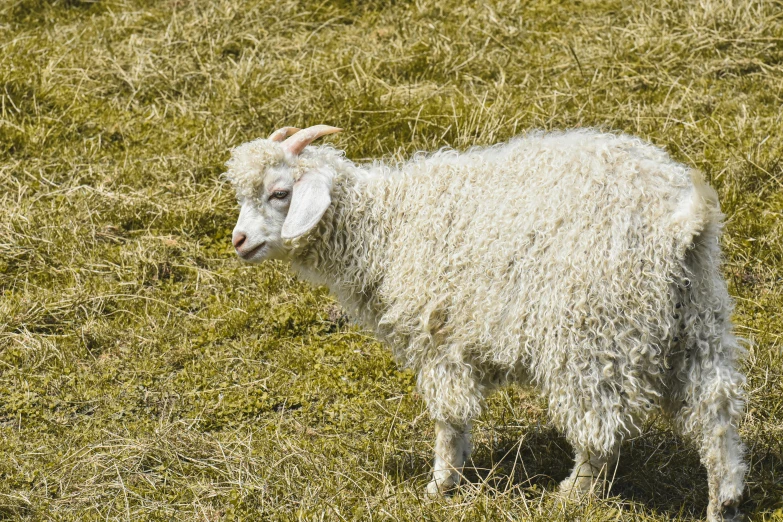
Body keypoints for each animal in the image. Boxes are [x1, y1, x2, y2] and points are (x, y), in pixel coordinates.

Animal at [225, 124, 748, 516]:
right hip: (698, 322)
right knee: (716, 413)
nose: (239, 240)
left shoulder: (439, 340)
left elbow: (449, 417)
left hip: (594, 333)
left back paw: (572, 494)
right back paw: (722, 503)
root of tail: (682, 225)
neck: (386, 228)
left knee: (600, 428)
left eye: (280, 193)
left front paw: (440, 485)